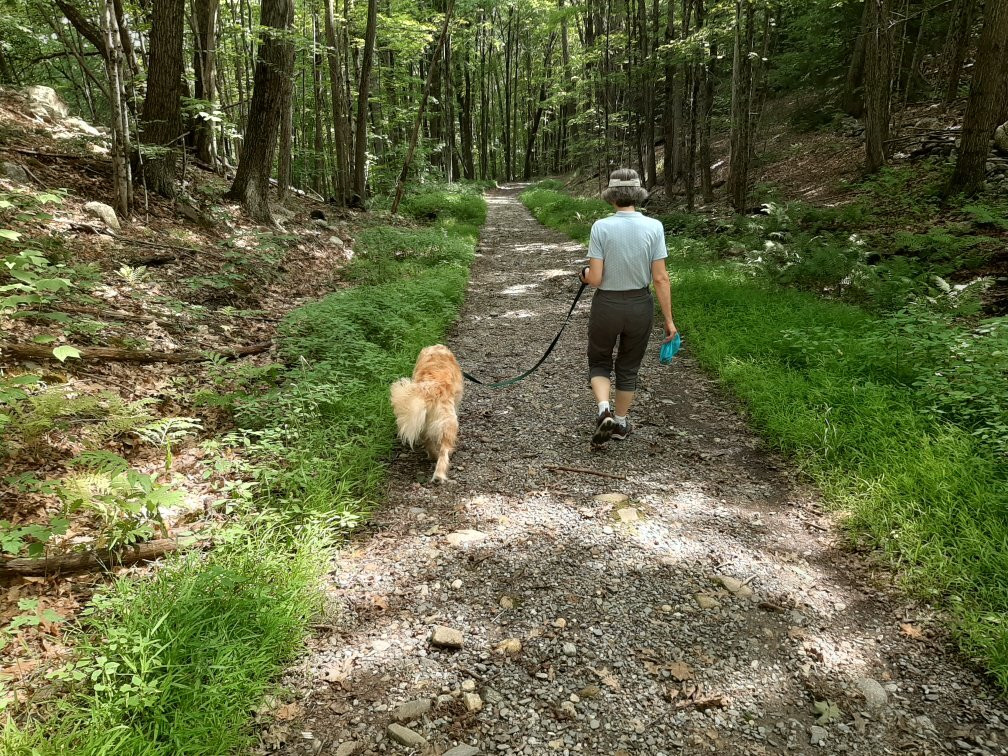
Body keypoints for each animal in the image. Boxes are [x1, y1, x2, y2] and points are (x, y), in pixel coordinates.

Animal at [389, 344, 463, 481]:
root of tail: (430, 390)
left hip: (425, 423)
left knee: (428, 441)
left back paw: (433, 457)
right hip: (449, 422)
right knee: (444, 451)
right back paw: (439, 474)